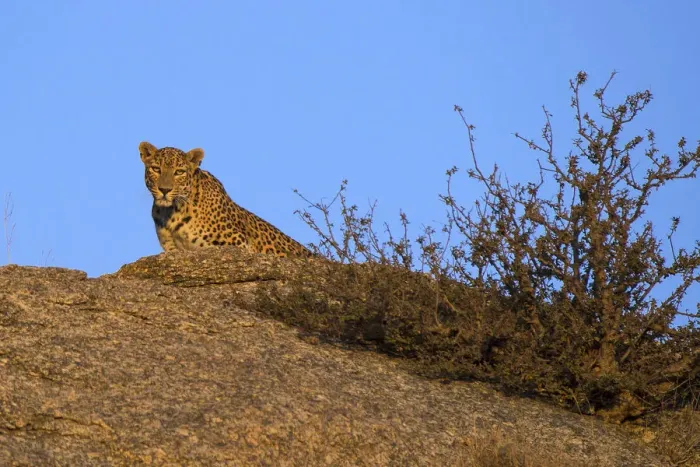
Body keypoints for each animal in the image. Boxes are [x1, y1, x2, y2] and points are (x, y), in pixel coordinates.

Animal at [139, 141, 313, 258]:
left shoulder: (236, 242)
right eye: (156, 169)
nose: (164, 190)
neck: (172, 211)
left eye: (179, 172)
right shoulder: (172, 248)